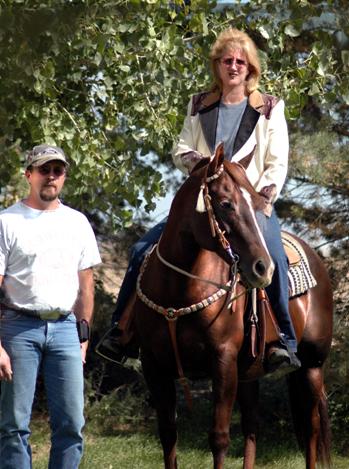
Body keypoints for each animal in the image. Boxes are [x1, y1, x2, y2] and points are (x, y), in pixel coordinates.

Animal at [130, 144, 332, 466]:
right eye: (225, 204)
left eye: (259, 203)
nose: (263, 267)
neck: (178, 292)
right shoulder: (154, 365)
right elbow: (168, 436)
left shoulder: (223, 362)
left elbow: (219, 437)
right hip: (250, 372)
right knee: (252, 428)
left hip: (312, 365)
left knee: (311, 428)